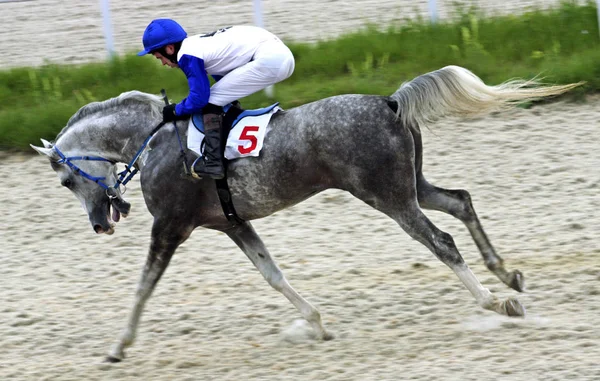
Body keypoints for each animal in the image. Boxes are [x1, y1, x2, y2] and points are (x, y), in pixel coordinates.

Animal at [30, 66, 580, 362]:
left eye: (65, 181)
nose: (100, 224)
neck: (153, 140)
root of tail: (390, 101)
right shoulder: (231, 223)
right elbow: (272, 275)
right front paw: (316, 324)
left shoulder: (171, 228)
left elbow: (143, 287)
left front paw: (118, 346)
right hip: (411, 187)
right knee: (460, 200)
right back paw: (507, 275)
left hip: (388, 198)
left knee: (441, 241)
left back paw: (495, 301)